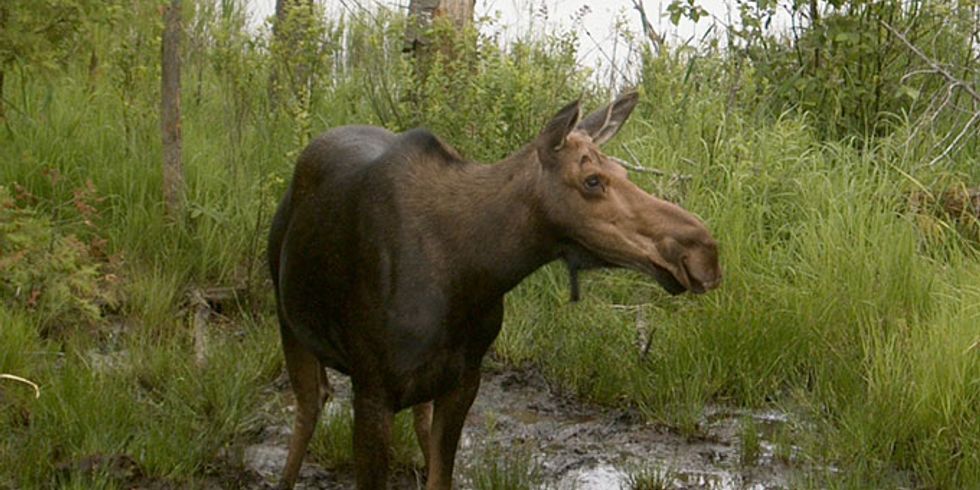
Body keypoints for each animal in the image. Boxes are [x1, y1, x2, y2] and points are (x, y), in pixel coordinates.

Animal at [266, 91, 720, 486]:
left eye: (625, 172)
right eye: (592, 180)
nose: (704, 251)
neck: (474, 272)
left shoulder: (465, 378)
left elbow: (440, 478)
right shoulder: (372, 389)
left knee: (413, 419)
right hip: (288, 320)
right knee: (310, 407)